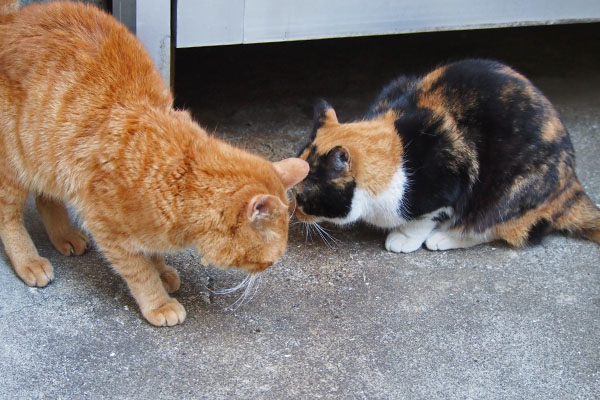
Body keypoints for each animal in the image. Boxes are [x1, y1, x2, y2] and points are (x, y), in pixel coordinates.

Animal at [0, 0, 310, 324]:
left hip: (47, 158)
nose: (269, 269)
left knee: (46, 197)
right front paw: (158, 300)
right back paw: (28, 261)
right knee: (8, 217)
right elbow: (139, 271)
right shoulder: (108, 230)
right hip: (15, 165)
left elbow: (152, 253)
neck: (178, 177)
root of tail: (11, 19)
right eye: (268, 259)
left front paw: (161, 270)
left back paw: (64, 236)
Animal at [296, 58, 600, 253]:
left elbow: (424, 219)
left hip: (510, 190)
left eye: (303, 197)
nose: (295, 213)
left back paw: (445, 238)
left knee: (498, 227)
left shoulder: (447, 182)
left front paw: (406, 237)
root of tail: (572, 185)